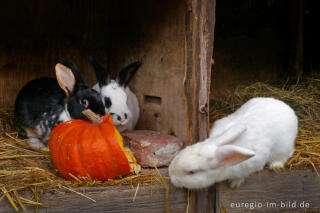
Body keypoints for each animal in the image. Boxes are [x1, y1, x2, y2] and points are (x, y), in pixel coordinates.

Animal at [169, 97, 298, 189]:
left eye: (191, 172)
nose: (171, 175)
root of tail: (285, 107)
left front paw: (234, 183)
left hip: (284, 146)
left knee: (286, 154)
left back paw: (276, 165)